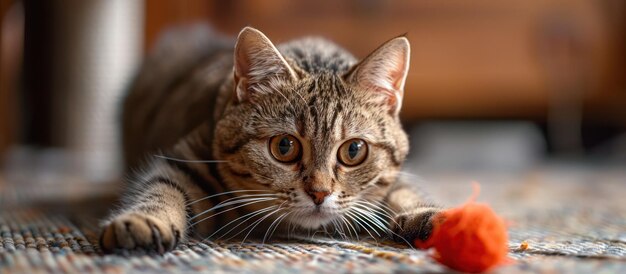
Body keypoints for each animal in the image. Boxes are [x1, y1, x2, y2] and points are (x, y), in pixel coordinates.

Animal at [98, 25, 438, 253]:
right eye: (284, 147)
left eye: (353, 150)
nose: (319, 193)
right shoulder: (186, 160)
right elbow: (160, 189)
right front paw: (144, 222)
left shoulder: (392, 179)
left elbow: (403, 192)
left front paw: (425, 215)